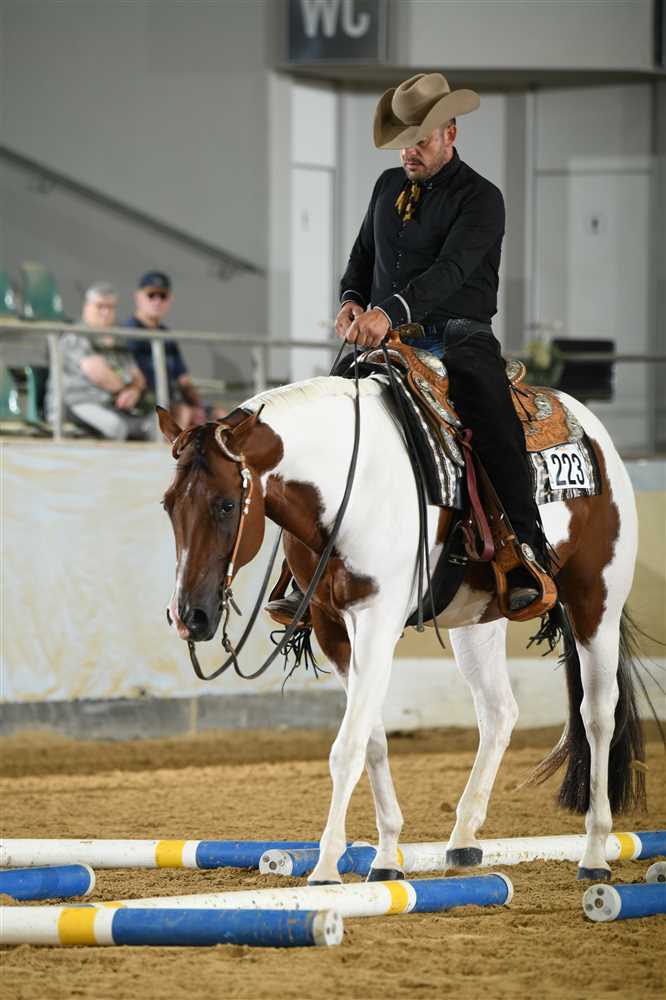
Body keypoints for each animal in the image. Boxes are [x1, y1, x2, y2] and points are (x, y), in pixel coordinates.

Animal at [157, 372, 647, 884]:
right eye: (168, 505)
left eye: (227, 505)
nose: (189, 615)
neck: (351, 488)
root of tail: (588, 423)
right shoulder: (332, 629)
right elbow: (371, 738)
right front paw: (387, 857)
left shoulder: (377, 621)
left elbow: (347, 746)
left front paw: (327, 867)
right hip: (476, 621)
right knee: (499, 712)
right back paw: (463, 839)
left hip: (597, 600)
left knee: (597, 714)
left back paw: (594, 853)